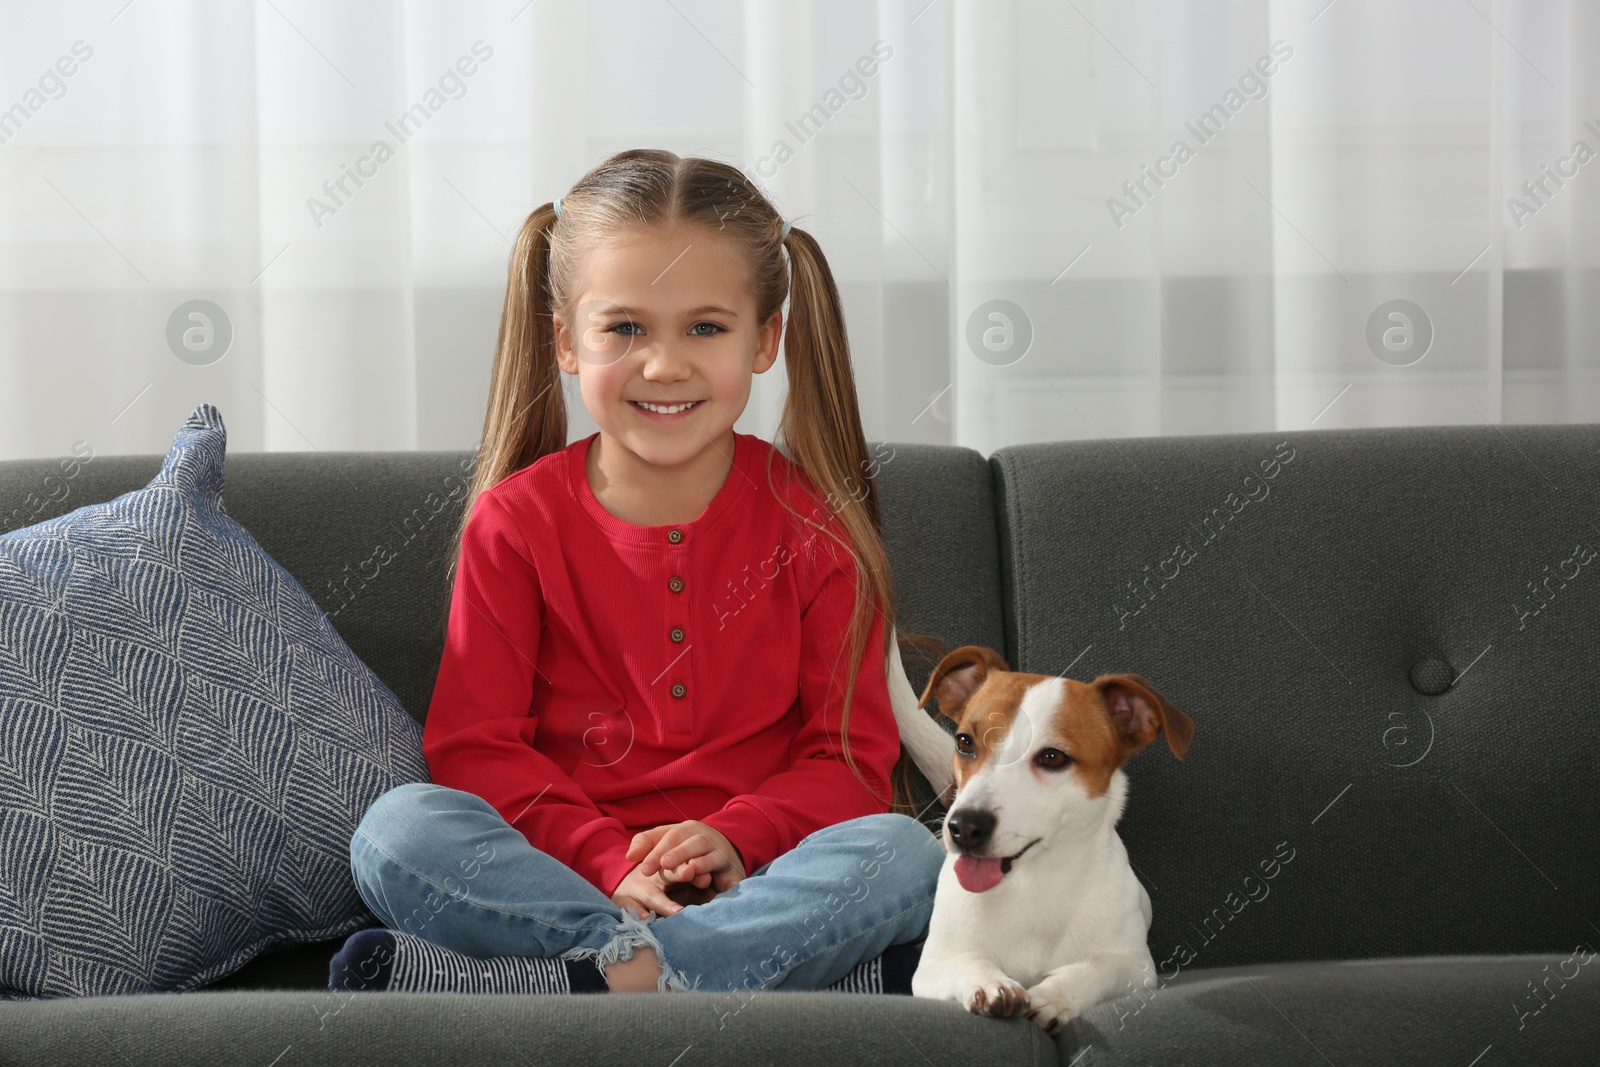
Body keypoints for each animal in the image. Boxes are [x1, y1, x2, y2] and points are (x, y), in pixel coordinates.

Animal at [902, 643, 1190, 1036]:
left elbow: (1094, 969)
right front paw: (991, 984)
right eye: (964, 742)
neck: (1031, 883)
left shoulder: (1136, 967)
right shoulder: (931, 969)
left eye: (1053, 757)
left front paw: (1053, 996)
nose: (965, 827)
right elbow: (968, 961)